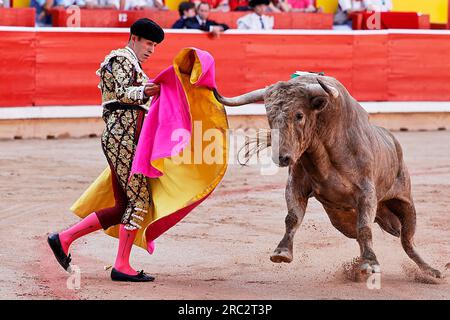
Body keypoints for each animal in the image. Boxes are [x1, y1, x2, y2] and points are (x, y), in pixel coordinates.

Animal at [213, 74, 442, 278]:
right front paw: (282, 252)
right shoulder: (295, 185)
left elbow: (365, 227)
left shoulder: (367, 192)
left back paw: (430, 271)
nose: (283, 157)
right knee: (360, 234)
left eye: (299, 115)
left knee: (407, 240)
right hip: (341, 219)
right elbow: (292, 218)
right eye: (270, 117)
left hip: (406, 204)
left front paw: (370, 263)